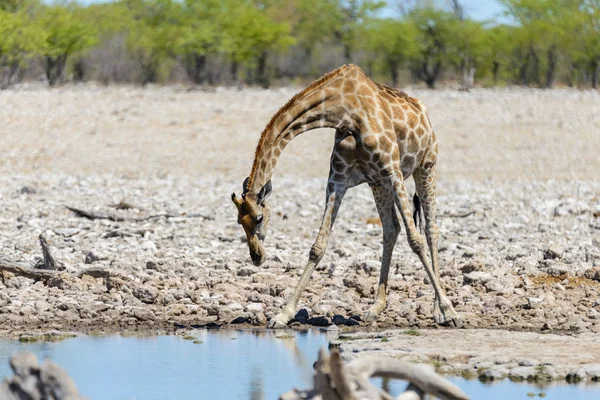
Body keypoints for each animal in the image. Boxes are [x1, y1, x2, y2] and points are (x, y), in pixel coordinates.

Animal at [232, 65, 462, 328]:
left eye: (259, 217)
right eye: (239, 222)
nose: (256, 256)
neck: (344, 111)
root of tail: (423, 112)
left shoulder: (393, 171)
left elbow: (416, 240)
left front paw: (450, 310)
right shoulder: (338, 180)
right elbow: (318, 246)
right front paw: (283, 314)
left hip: (425, 167)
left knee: (431, 230)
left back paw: (438, 310)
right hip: (378, 182)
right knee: (391, 229)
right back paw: (376, 307)